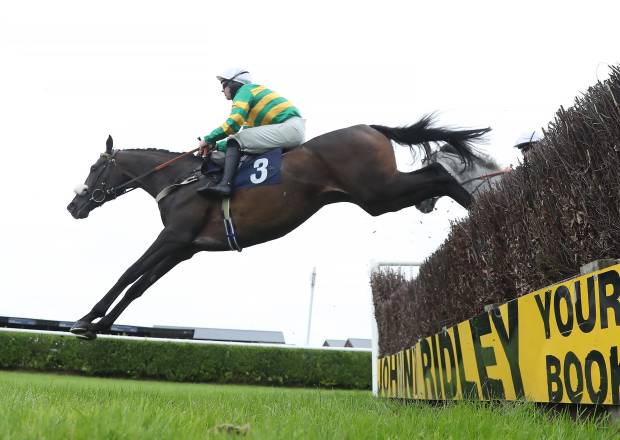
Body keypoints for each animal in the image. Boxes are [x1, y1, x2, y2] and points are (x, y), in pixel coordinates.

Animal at [66, 114, 494, 340]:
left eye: (94, 167)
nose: (73, 205)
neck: (181, 179)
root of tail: (371, 127)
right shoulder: (185, 247)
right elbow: (139, 286)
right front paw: (101, 325)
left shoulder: (172, 236)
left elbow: (128, 273)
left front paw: (85, 320)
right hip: (377, 197)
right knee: (434, 175)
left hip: (378, 192)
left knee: (438, 173)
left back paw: (482, 205)